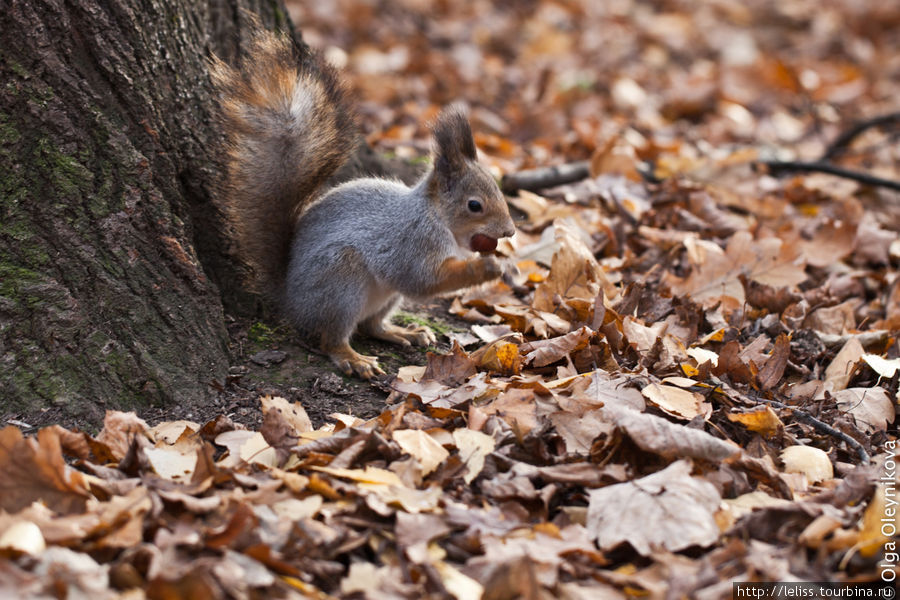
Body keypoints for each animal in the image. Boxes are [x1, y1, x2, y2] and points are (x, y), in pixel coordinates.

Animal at [212, 29, 516, 380]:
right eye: (474, 205)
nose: (510, 231)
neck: (436, 217)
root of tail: (291, 299)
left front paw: (506, 264)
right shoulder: (410, 242)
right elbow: (422, 280)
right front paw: (486, 267)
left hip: (384, 297)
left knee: (371, 326)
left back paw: (402, 332)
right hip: (341, 282)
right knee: (331, 337)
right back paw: (353, 358)